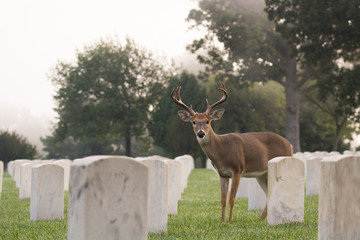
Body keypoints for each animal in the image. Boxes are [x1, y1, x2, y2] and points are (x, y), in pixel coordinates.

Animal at [171, 82, 292, 221]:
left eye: (207, 121)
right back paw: (261, 219)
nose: (201, 133)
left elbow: (231, 199)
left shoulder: (237, 169)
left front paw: (230, 220)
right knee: (269, 194)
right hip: (262, 174)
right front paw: (222, 220)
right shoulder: (222, 174)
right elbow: (223, 200)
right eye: (194, 122)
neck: (222, 150)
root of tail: (289, 144)